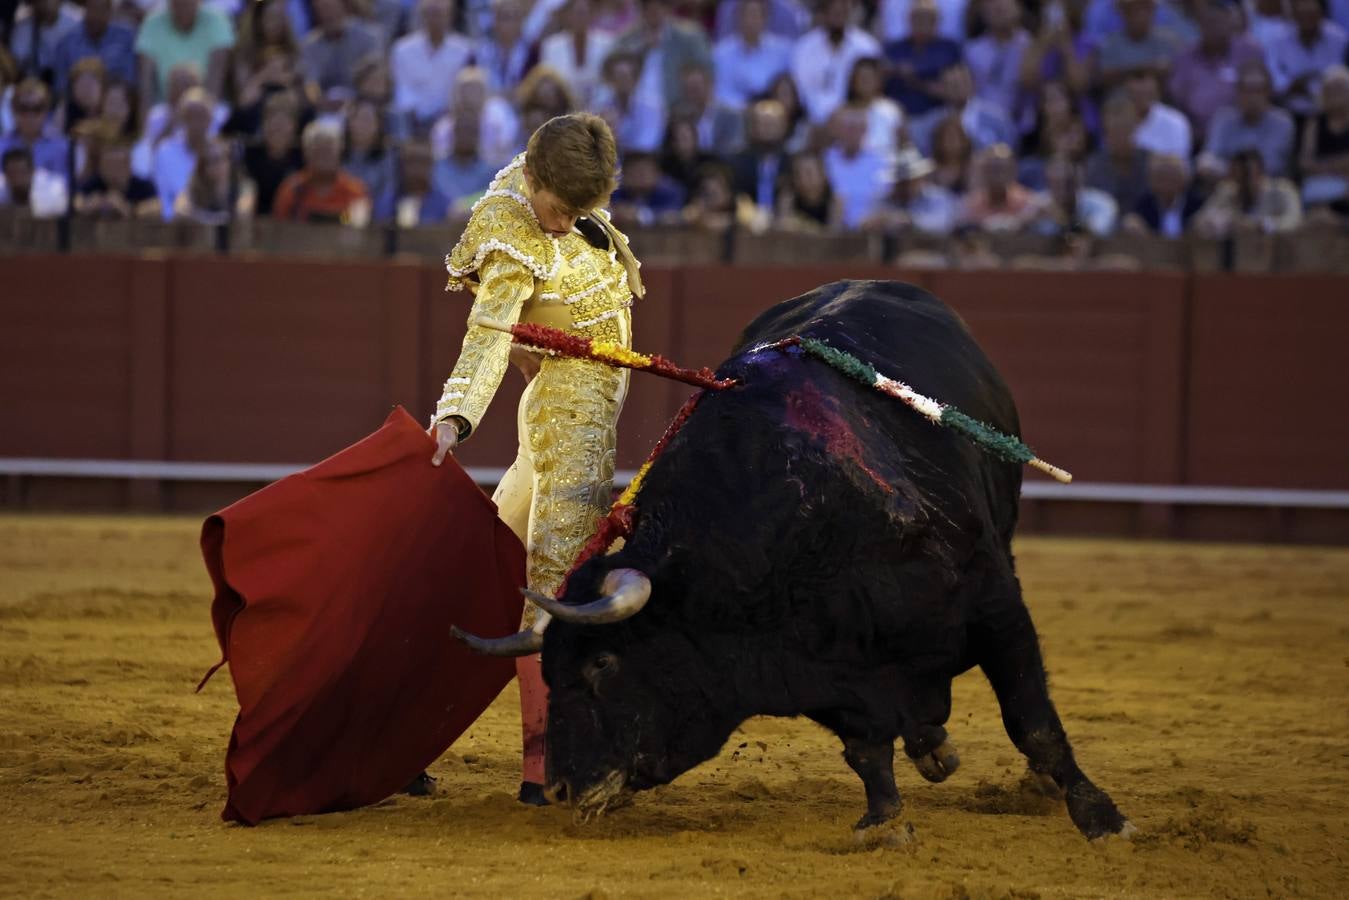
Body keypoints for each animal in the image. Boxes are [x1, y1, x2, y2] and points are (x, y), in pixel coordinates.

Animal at [531, 282, 1133, 847]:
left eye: (602, 663)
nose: (559, 788)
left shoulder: (996, 606)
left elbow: (1032, 721)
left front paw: (1101, 820)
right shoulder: (813, 664)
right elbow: (865, 750)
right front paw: (884, 823)